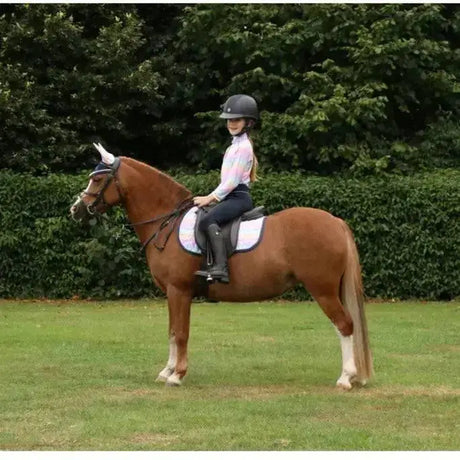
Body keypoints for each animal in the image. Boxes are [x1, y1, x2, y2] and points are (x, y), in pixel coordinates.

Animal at [72, 144, 374, 388]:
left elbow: (181, 333)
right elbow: (172, 331)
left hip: (323, 290)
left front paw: (177, 375)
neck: (167, 221)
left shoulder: (179, 291)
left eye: (97, 179)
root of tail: (336, 221)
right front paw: (167, 370)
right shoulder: (172, 294)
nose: (76, 209)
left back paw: (346, 378)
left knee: (344, 325)